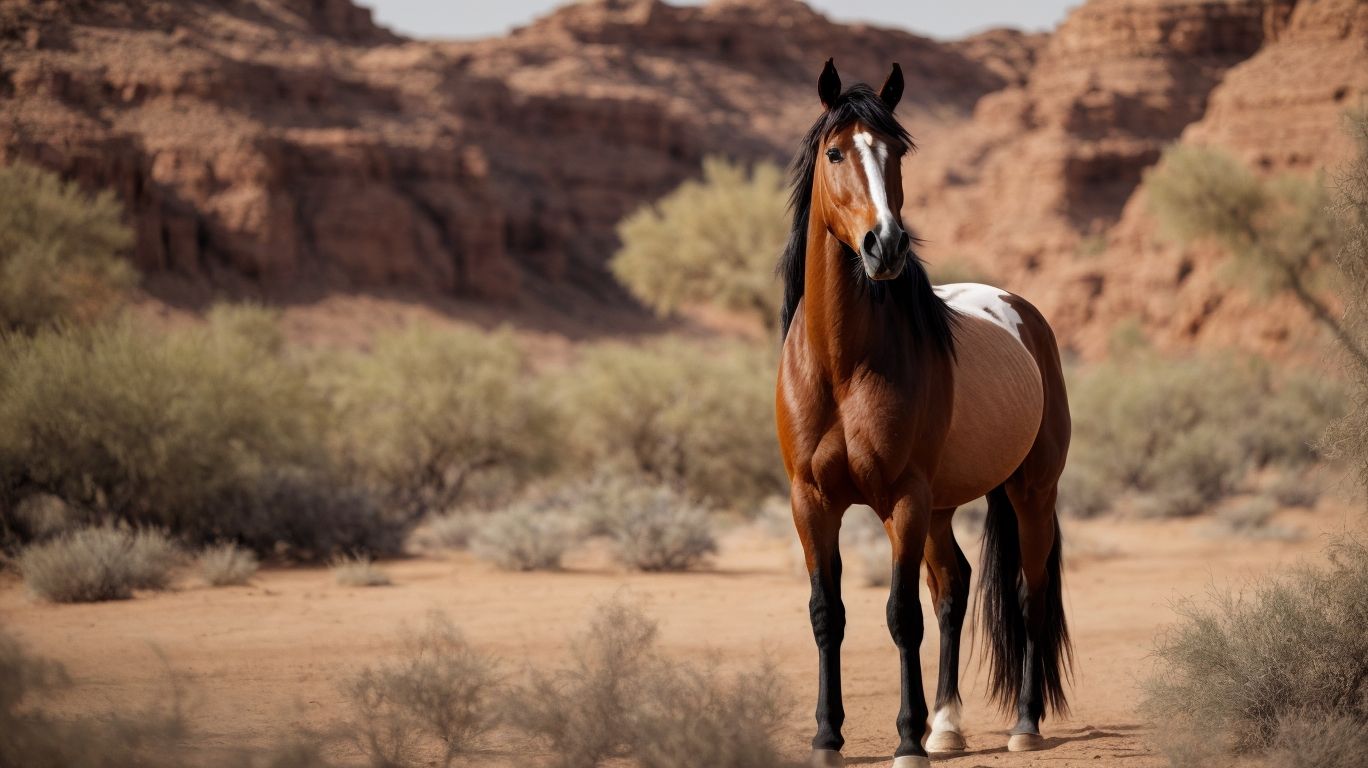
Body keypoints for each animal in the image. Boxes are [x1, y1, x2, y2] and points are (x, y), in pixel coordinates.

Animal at [775, 59, 1072, 768]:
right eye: (834, 152)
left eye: (898, 151)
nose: (884, 246)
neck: (843, 365)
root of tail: (1023, 313)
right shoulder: (810, 502)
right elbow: (828, 613)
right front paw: (828, 737)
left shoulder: (902, 499)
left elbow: (900, 615)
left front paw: (907, 741)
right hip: (942, 506)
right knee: (953, 589)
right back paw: (948, 727)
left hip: (1029, 491)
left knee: (1028, 594)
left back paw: (1022, 724)